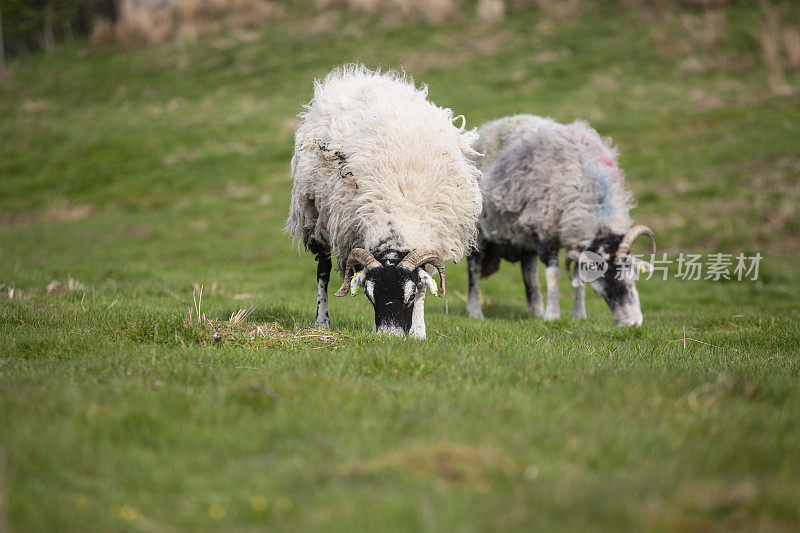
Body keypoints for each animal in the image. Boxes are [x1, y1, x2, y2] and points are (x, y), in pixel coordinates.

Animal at [286, 62, 482, 336]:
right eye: (370, 297)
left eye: (410, 297)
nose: (389, 337)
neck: (396, 213)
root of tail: (359, 77)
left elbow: (425, 284)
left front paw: (418, 332)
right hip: (315, 218)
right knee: (322, 272)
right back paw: (322, 323)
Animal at [466, 114, 660, 326]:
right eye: (598, 291)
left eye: (632, 278)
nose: (631, 324)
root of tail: (492, 125)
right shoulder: (545, 235)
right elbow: (554, 275)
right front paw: (552, 315)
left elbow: (577, 278)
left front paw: (578, 315)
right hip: (478, 231)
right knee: (474, 267)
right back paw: (475, 312)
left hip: (523, 236)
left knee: (529, 271)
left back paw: (535, 310)